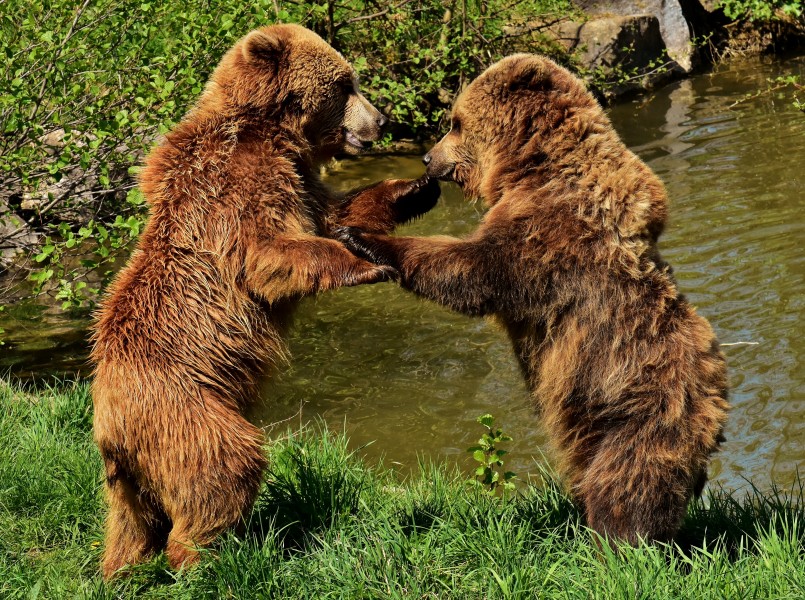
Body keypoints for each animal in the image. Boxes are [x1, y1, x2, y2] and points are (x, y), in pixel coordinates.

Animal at [92, 23, 440, 576]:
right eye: (345, 83)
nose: (382, 119)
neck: (273, 131)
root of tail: (110, 430)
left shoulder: (299, 181)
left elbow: (334, 212)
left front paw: (415, 188)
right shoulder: (239, 186)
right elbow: (271, 253)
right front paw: (369, 262)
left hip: (130, 474)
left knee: (130, 524)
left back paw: (121, 569)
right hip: (186, 410)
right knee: (224, 467)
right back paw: (209, 558)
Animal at [342, 55, 732, 544]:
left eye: (455, 123)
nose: (429, 157)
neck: (530, 165)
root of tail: (716, 406)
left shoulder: (547, 234)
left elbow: (472, 270)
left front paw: (363, 237)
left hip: (638, 407)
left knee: (627, 480)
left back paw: (618, 542)